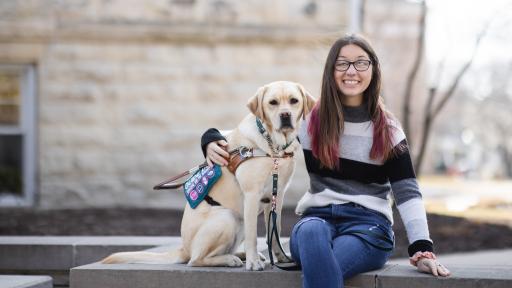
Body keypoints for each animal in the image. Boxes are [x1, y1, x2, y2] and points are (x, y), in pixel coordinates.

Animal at [101, 80, 314, 270]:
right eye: (273, 102)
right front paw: (253, 263)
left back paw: (239, 255)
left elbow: (275, 231)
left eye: (294, 101)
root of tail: (184, 249)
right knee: (196, 260)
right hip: (228, 217)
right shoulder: (252, 195)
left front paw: (282, 258)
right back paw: (233, 259)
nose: (285, 115)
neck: (274, 148)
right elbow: (253, 236)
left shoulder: (277, 196)